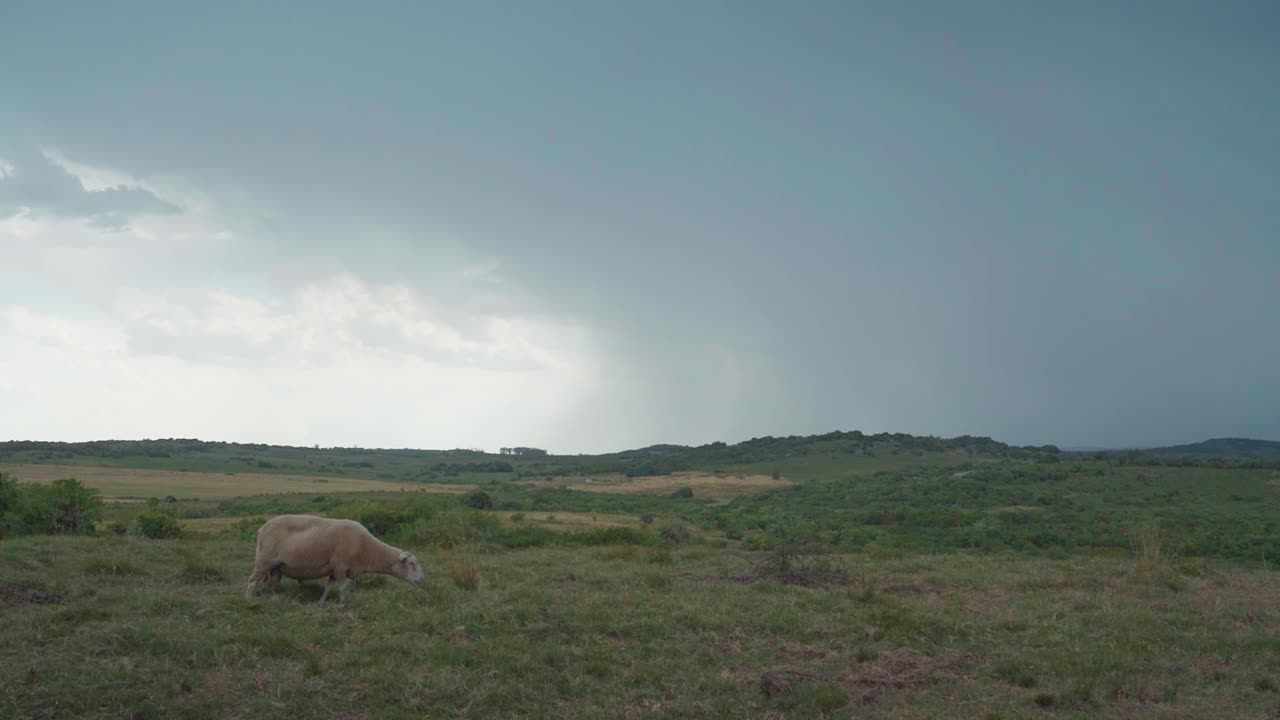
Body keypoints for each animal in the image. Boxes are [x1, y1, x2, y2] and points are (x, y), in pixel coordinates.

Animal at [244, 514, 423, 603]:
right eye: (412, 564)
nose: (421, 581)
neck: (367, 549)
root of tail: (262, 528)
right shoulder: (340, 566)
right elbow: (342, 587)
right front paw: (343, 604)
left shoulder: (333, 569)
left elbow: (329, 587)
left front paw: (321, 602)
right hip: (264, 560)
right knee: (252, 581)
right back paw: (248, 600)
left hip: (276, 566)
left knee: (270, 583)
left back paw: (272, 599)